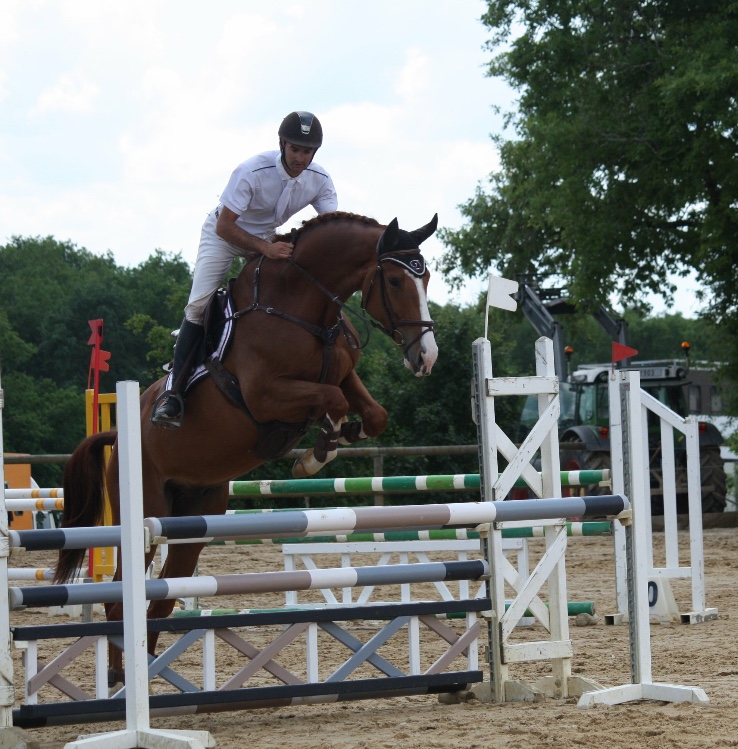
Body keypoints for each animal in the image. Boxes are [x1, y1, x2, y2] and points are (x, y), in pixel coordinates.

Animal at [57, 209, 440, 684]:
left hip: (194, 516)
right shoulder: (266, 395)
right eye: (395, 281)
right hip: (147, 511)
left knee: (161, 599)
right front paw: (315, 454)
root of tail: (116, 435)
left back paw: (146, 675)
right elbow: (331, 401)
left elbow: (373, 414)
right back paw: (118, 679)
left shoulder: (343, 373)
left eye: (428, 279)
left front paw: (336, 439)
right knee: (118, 601)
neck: (304, 309)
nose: (426, 356)